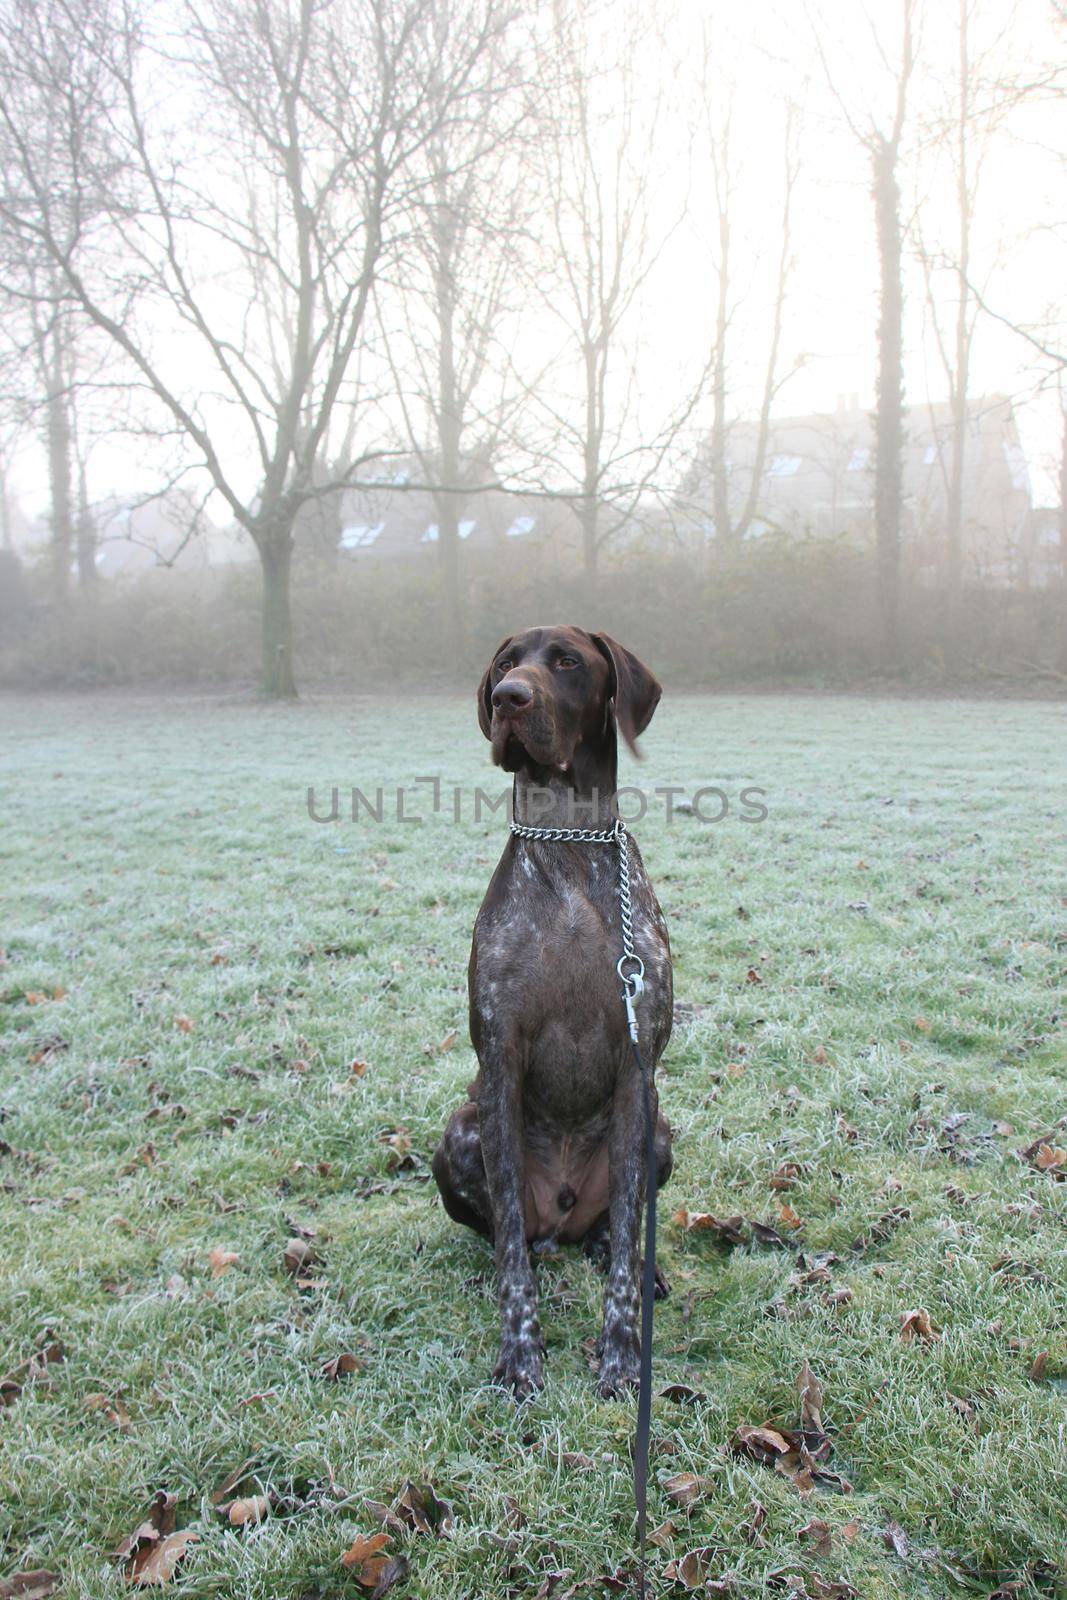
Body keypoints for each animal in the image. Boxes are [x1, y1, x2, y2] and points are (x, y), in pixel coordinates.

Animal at [428, 624, 671, 1401]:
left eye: (566, 661)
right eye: (506, 664)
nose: (510, 697)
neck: (567, 843)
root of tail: (561, 1219)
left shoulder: (637, 1072)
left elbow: (626, 1248)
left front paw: (622, 1355)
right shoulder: (500, 1065)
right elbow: (506, 1236)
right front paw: (520, 1353)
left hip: (659, 1130)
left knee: (614, 1227)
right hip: (460, 1131)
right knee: (509, 1235)